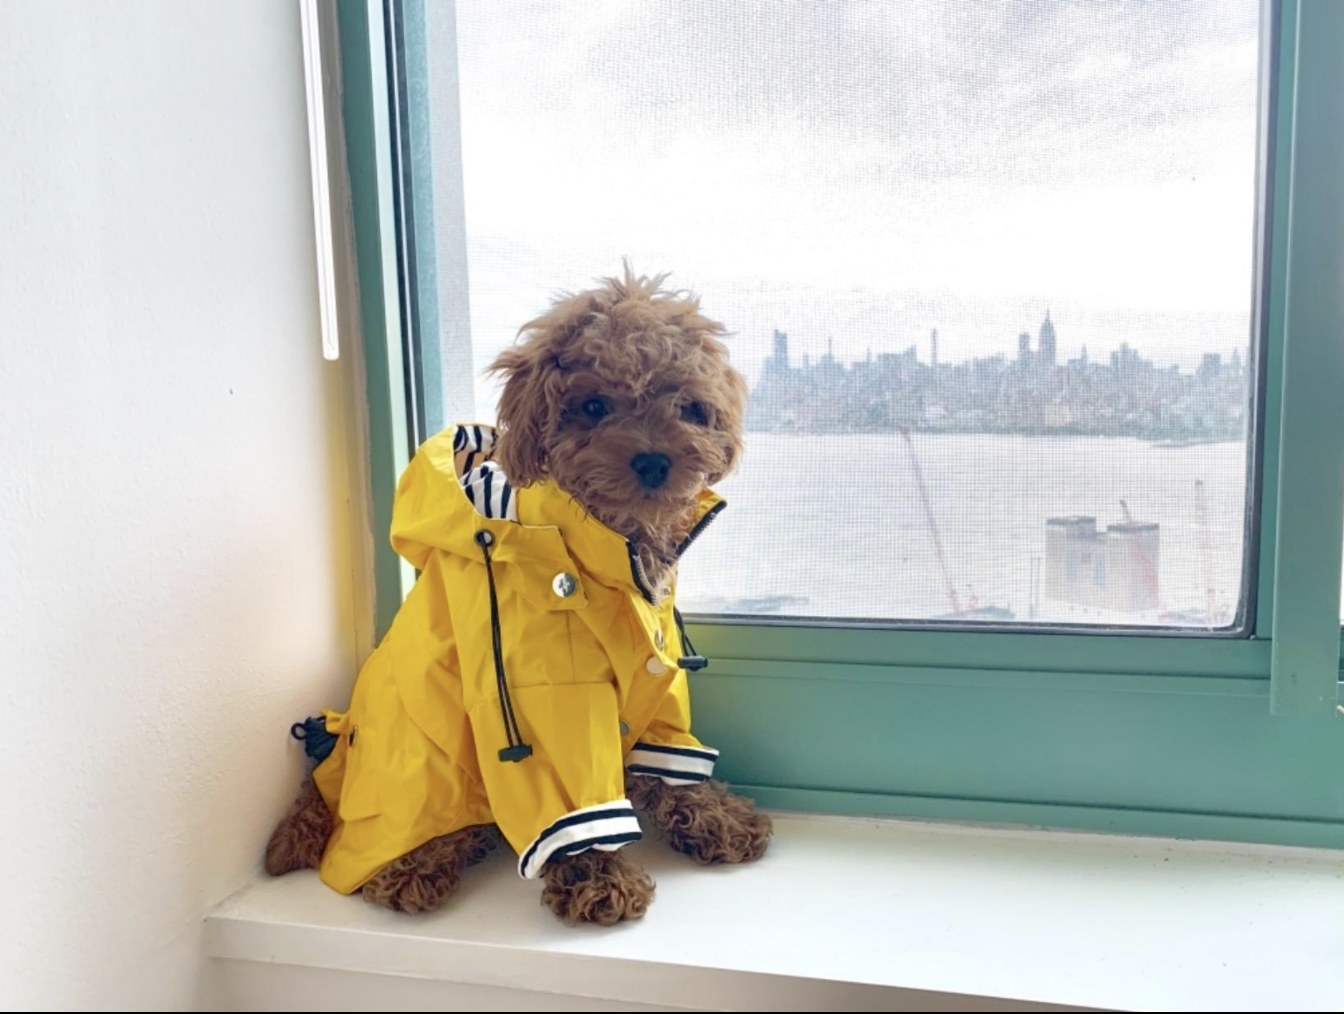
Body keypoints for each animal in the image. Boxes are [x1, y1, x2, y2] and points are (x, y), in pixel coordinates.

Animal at [264, 262, 768, 925]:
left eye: (684, 403)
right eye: (592, 405)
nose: (654, 461)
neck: (608, 553)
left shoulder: (661, 682)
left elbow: (671, 762)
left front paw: (717, 818)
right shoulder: (548, 697)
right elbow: (573, 805)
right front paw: (596, 878)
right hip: (420, 768)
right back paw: (414, 868)